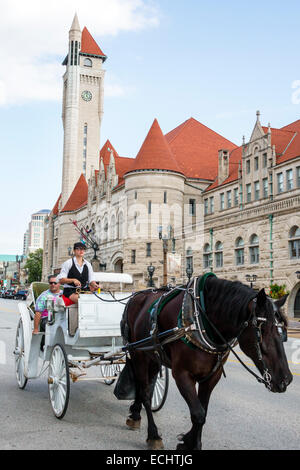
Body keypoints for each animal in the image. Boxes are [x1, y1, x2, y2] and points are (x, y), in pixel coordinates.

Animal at [122, 278, 292, 450]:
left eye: (283, 331)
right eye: (262, 331)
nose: (286, 379)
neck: (200, 322)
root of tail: (136, 296)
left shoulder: (212, 376)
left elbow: (203, 411)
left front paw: (189, 441)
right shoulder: (182, 375)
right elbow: (198, 414)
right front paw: (188, 442)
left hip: (153, 357)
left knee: (146, 387)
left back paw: (135, 414)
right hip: (138, 354)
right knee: (145, 392)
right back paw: (153, 435)